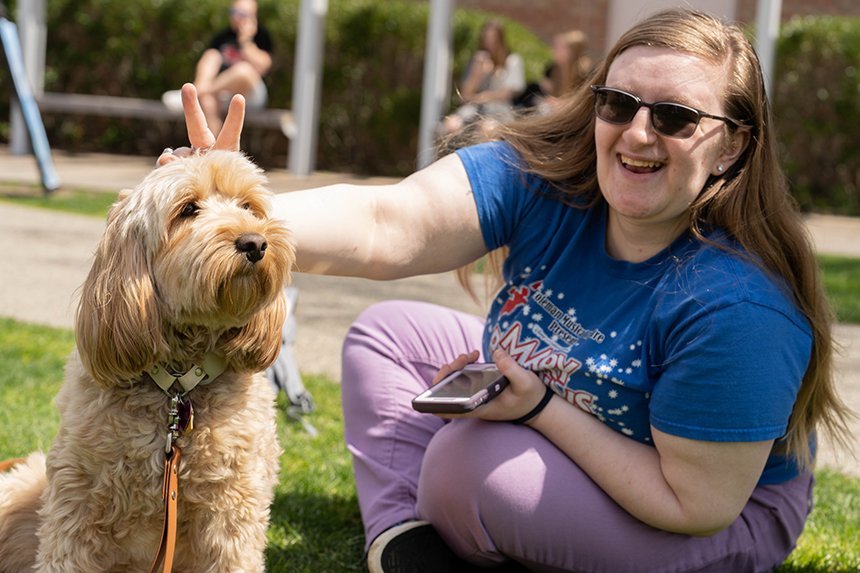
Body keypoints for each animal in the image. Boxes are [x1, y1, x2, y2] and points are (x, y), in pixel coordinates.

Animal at [0, 150, 294, 568]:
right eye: (188, 209)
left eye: (248, 207)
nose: (255, 242)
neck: (177, 387)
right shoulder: (76, 498)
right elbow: (64, 555)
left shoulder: (233, 511)